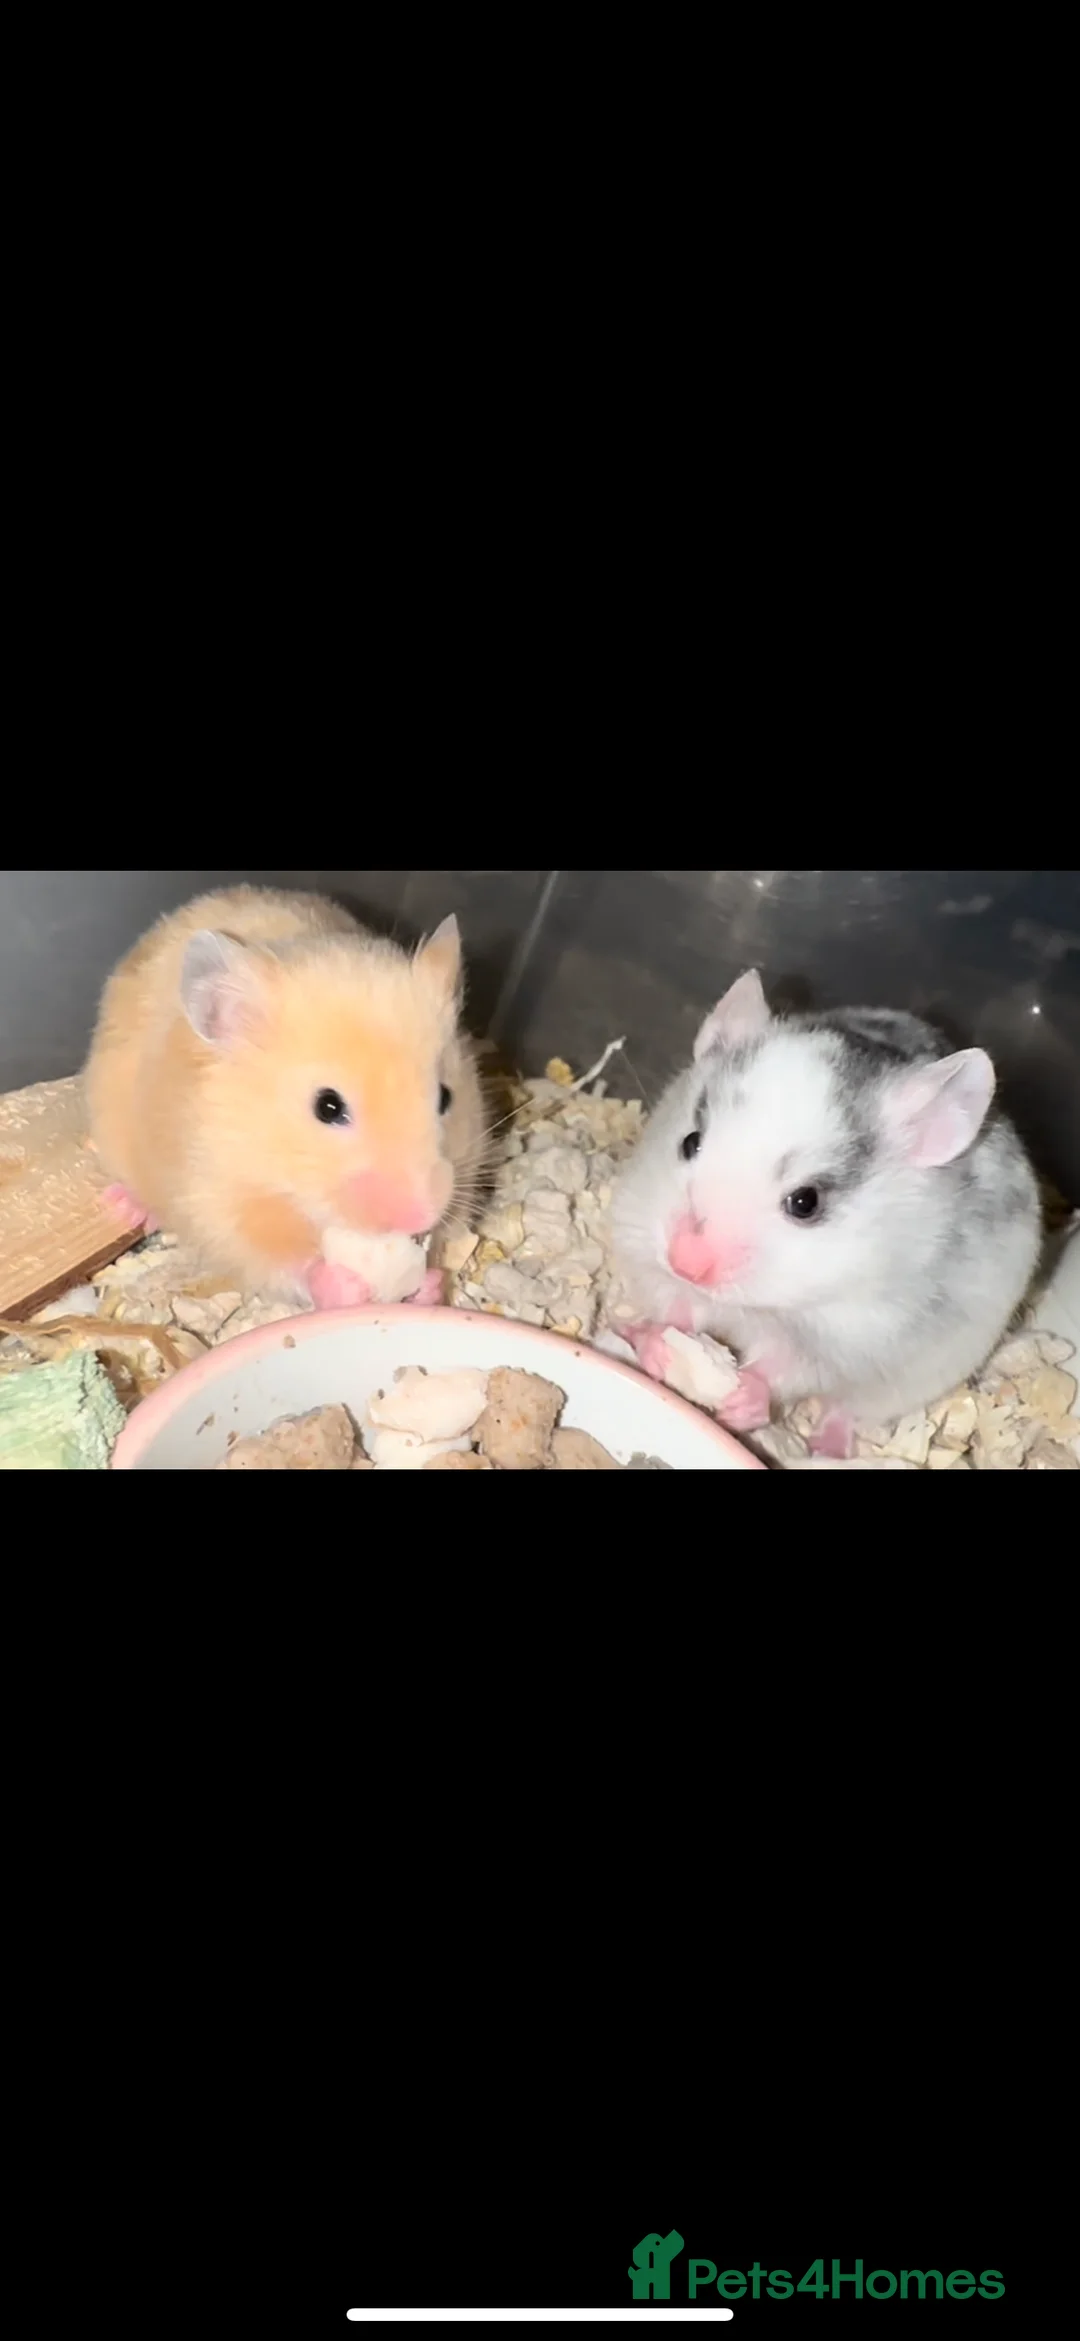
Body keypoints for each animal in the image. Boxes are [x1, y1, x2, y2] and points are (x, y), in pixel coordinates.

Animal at [84, 885, 489, 1305]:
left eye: (445, 1097)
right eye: (328, 1107)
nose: (421, 1216)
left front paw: (429, 1284)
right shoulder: (218, 1200)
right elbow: (281, 1262)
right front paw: (346, 1287)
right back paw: (126, 1207)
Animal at [610, 969, 1042, 1450]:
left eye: (806, 1202)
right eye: (690, 1143)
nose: (685, 1263)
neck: (760, 1307)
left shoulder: (846, 1338)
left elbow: (782, 1367)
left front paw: (742, 1400)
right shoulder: (648, 1253)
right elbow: (676, 1307)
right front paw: (657, 1348)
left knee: (847, 1410)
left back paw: (825, 1446)